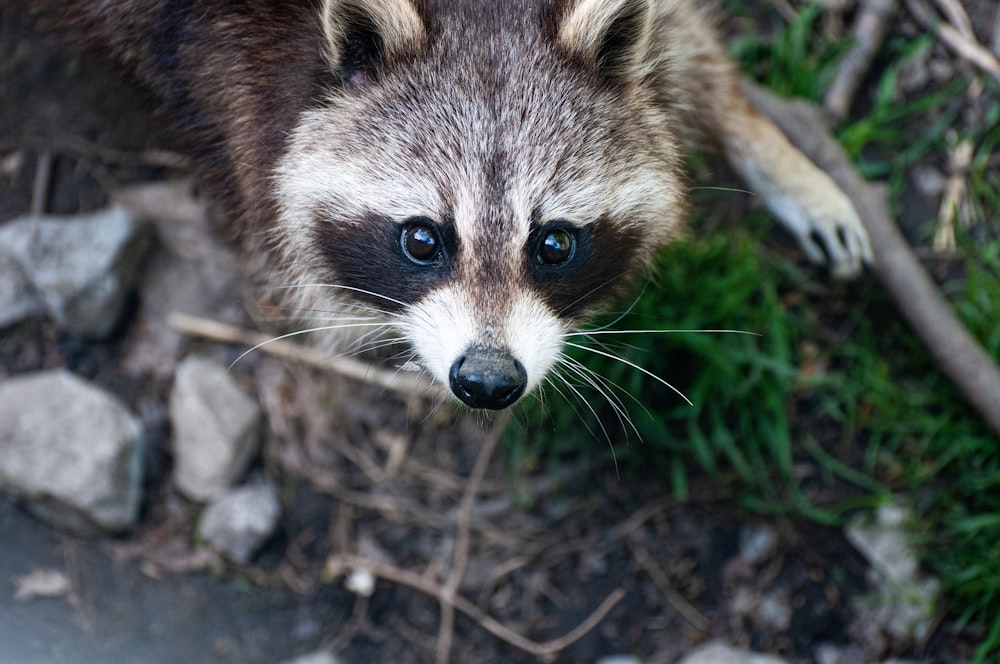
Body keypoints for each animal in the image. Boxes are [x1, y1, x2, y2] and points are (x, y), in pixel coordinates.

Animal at [58, 0, 868, 410]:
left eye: (554, 244)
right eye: (423, 239)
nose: (486, 382)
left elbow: (683, 44)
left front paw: (760, 137)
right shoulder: (214, 59)